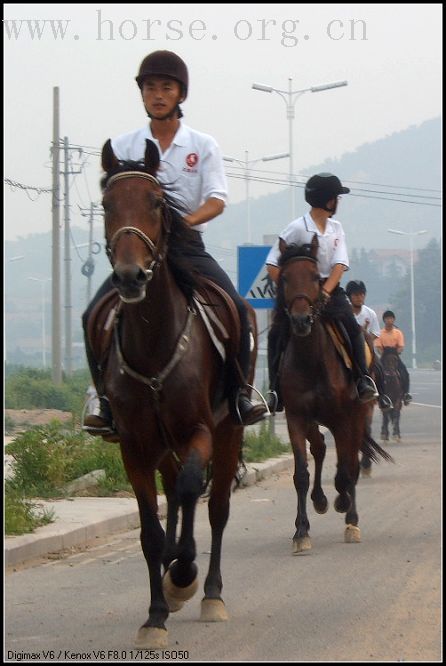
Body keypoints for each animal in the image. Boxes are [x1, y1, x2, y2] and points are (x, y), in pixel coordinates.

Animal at [90, 139, 258, 644]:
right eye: (106, 205)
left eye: (156, 203)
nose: (130, 277)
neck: (154, 341)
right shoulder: (134, 446)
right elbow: (150, 530)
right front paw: (155, 614)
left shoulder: (199, 430)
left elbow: (190, 491)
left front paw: (183, 575)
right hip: (164, 447)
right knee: (176, 496)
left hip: (228, 432)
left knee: (215, 505)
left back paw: (209, 593)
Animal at [276, 237, 390, 548]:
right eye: (285, 277)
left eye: (317, 277)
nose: (301, 320)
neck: (312, 361)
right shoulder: (296, 417)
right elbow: (301, 474)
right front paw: (301, 532)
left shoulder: (343, 419)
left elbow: (346, 469)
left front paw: (346, 511)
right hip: (315, 420)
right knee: (320, 448)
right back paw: (320, 500)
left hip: (357, 414)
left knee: (349, 462)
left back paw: (348, 514)